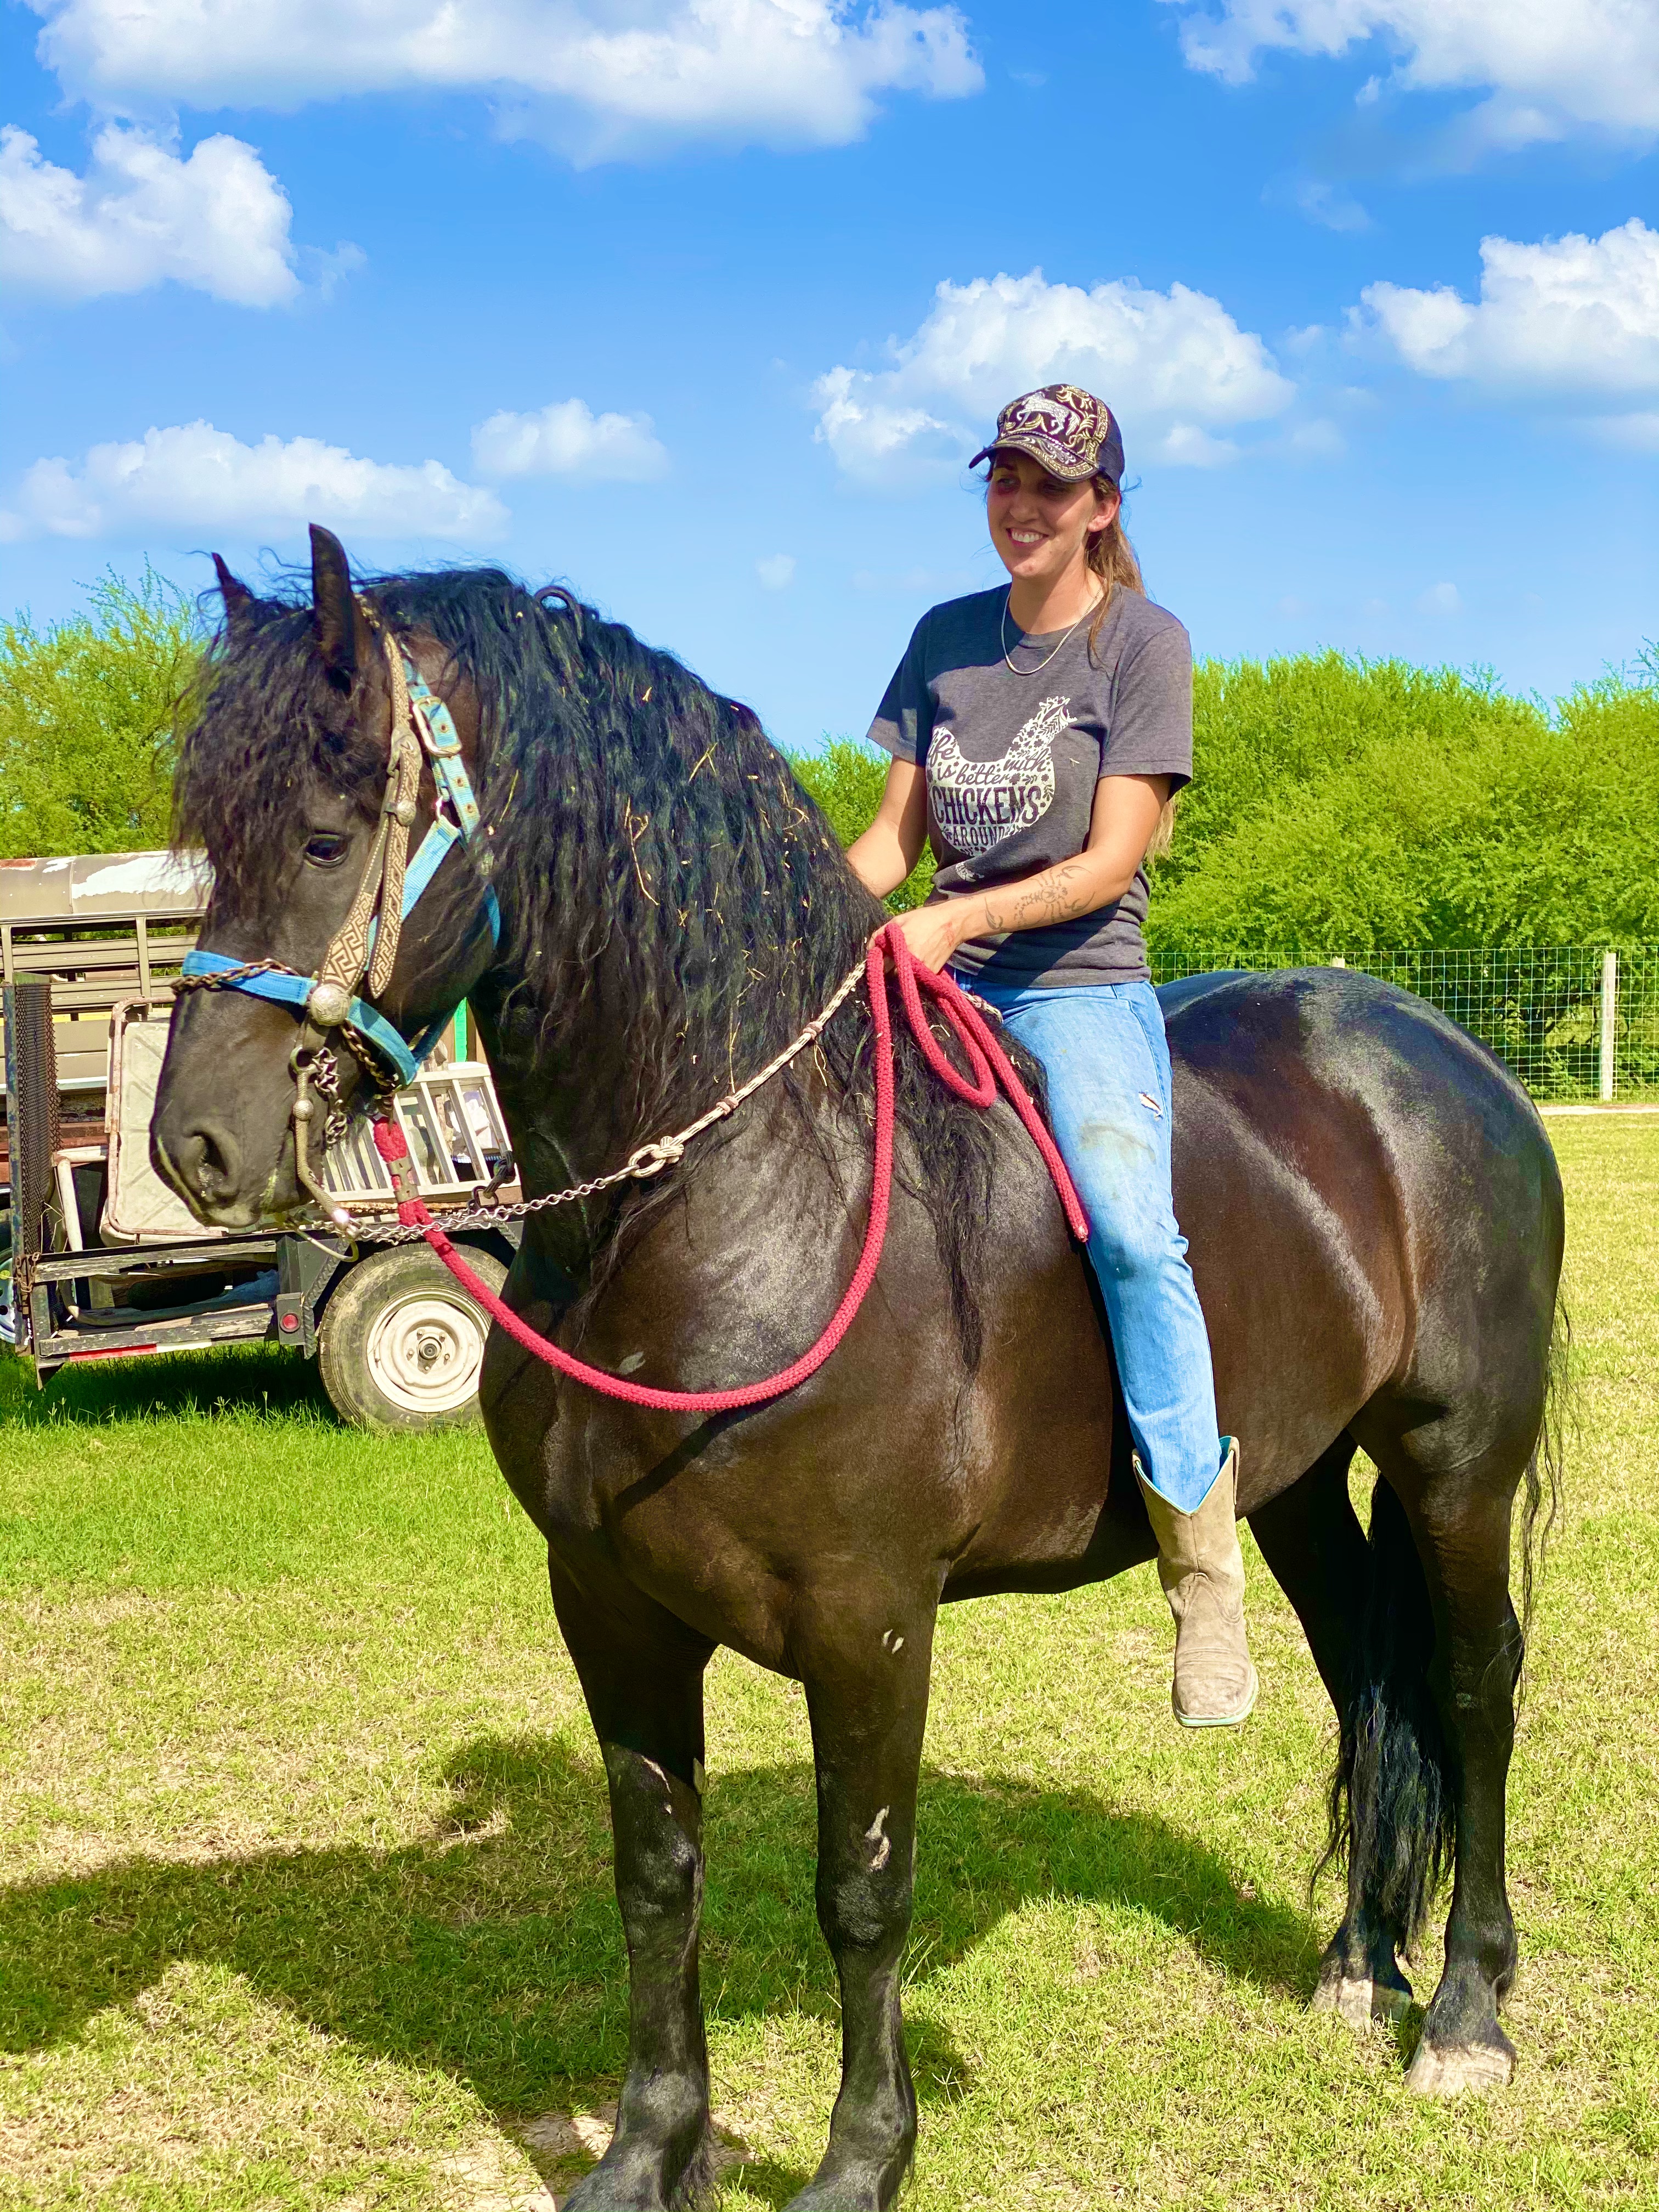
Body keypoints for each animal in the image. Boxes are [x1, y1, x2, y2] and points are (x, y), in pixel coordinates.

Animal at [149, 535, 1566, 2212]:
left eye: (323, 835)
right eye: (207, 841)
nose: (195, 1145)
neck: (743, 1197)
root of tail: (1441, 1049)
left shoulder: (870, 1623)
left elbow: (864, 1892)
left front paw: (858, 2163)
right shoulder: (608, 1606)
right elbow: (656, 1881)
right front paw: (649, 2150)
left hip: (1457, 1462)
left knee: (1473, 1688)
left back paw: (1466, 2010)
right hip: (1290, 1480)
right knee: (1365, 1672)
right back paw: (1357, 1963)